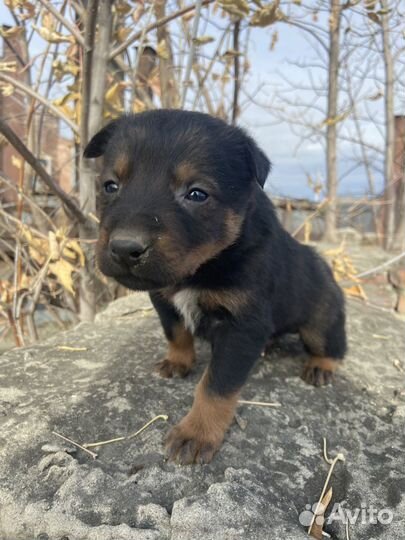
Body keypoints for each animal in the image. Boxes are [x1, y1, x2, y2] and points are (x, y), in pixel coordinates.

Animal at [83, 108, 346, 464]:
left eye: (196, 194)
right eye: (110, 185)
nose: (125, 248)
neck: (200, 270)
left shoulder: (242, 326)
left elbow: (216, 385)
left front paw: (196, 433)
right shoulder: (164, 301)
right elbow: (177, 333)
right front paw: (178, 362)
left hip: (321, 315)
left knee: (331, 344)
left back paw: (320, 366)